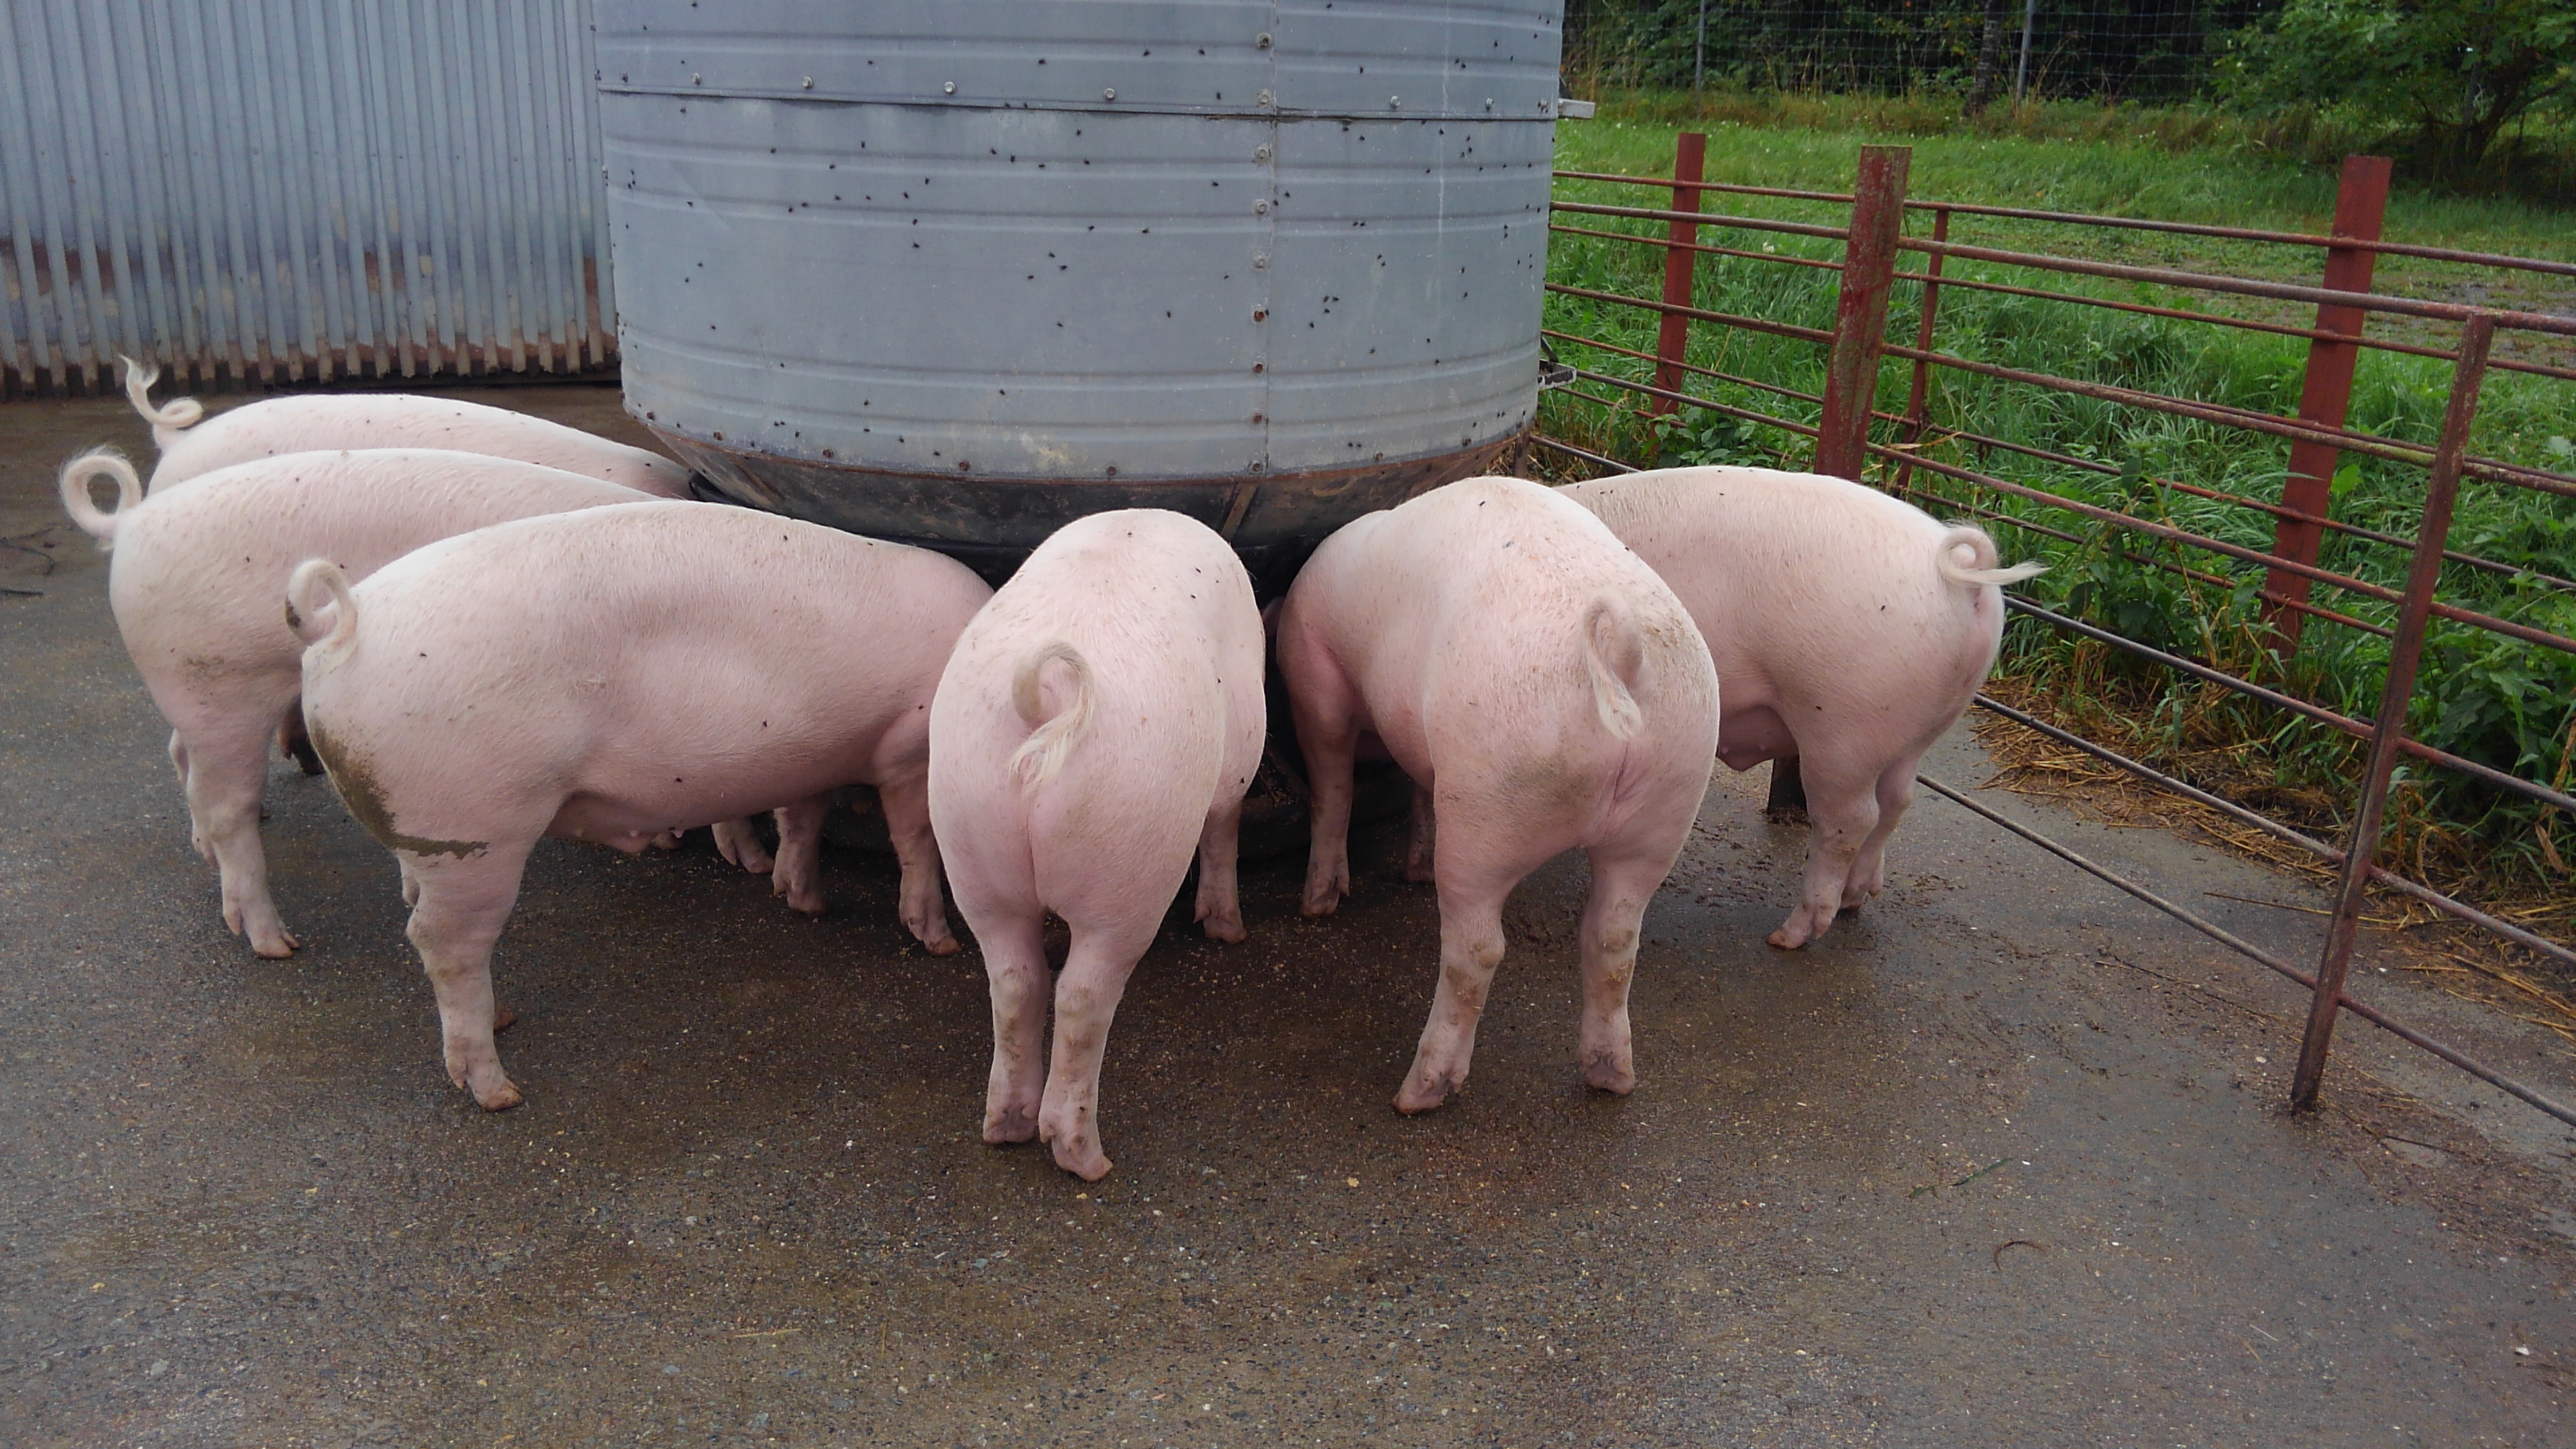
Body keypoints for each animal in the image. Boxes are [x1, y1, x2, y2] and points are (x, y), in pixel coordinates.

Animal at [288, 501, 992, 1108]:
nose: (946, 945)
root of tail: (340, 627)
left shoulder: (815, 753)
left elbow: (802, 818)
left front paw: (805, 901)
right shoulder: (909, 747)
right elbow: (917, 841)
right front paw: (940, 944)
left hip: (428, 831)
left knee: (420, 911)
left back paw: (504, 1019)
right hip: (474, 828)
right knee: (441, 942)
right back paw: (499, 1092)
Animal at [929, 510, 1265, 1180]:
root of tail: (1047, 695)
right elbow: (1223, 824)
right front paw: (1228, 931)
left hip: (968, 827)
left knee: (1015, 981)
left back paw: (1004, 1129)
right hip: (1131, 844)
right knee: (1084, 996)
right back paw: (1087, 1159)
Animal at [1276, 476, 1720, 1114]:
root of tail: (1623, 657)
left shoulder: (1317, 682)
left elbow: (1332, 785)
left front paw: (1317, 905)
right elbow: (1417, 792)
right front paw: (1410, 870)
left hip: (1489, 808)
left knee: (1479, 949)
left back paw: (1417, 1094)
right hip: (1668, 801)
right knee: (1614, 939)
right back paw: (1612, 1079)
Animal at [1560, 466, 2044, 949]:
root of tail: (1966, 577)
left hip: (1843, 728)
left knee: (1848, 821)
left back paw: (1789, 936)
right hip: (1914, 731)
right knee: (1896, 801)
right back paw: (1853, 901)